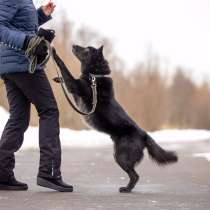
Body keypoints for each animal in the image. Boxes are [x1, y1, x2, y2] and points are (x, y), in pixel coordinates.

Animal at [52, 45, 177, 193]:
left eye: (87, 50)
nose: (73, 45)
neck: (95, 76)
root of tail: (144, 134)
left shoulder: (75, 87)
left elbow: (65, 69)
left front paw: (53, 53)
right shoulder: (76, 95)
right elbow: (66, 77)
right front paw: (58, 78)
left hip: (121, 156)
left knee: (135, 175)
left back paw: (126, 189)